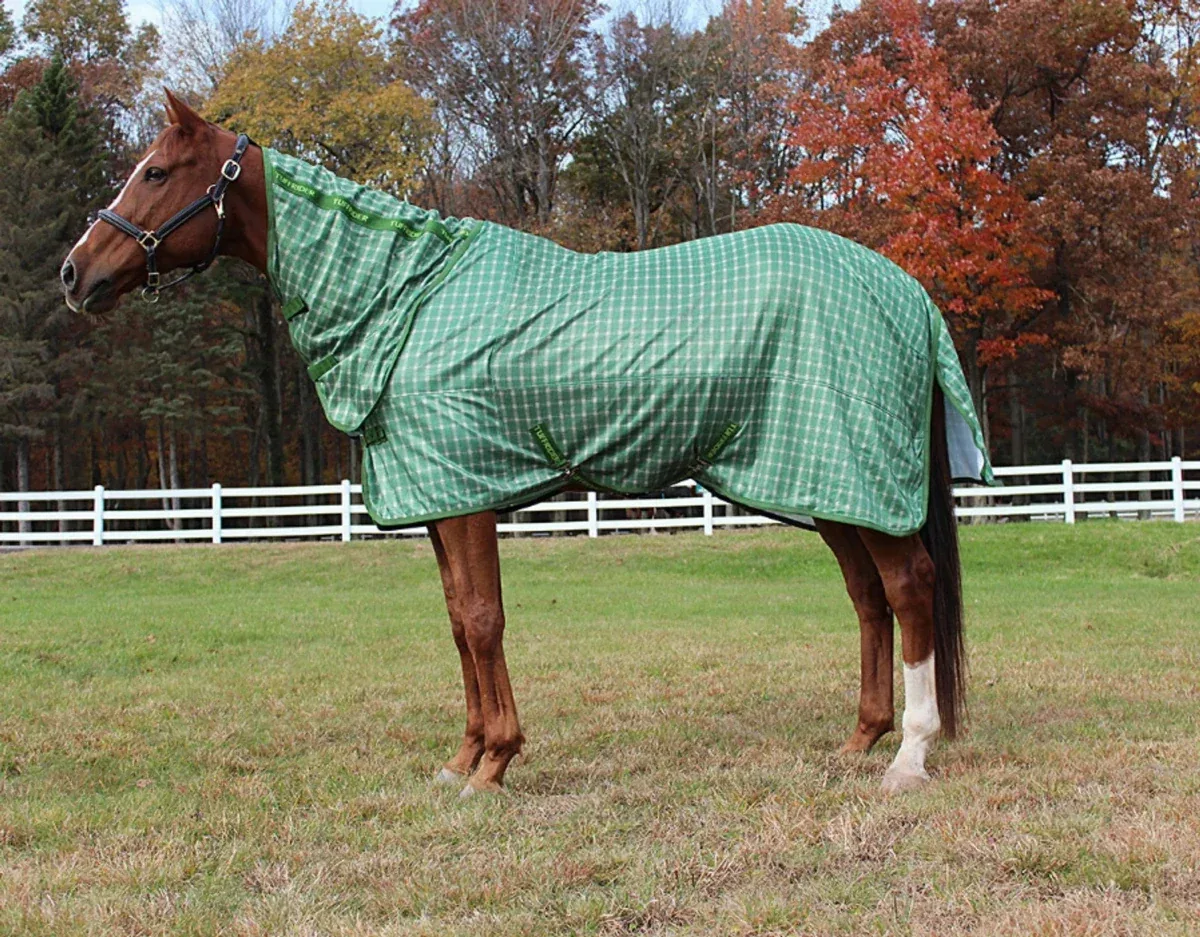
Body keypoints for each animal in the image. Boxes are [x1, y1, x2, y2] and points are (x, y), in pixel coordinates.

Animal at [62, 90, 988, 796]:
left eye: (154, 172)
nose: (75, 273)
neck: (407, 299)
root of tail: (903, 286)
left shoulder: (465, 491)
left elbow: (482, 620)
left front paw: (494, 764)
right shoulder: (438, 492)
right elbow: (455, 621)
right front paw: (462, 757)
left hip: (855, 474)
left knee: (908, 588)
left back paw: (908, 756)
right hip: (827, 480)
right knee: (869, 598)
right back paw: (858, 739)